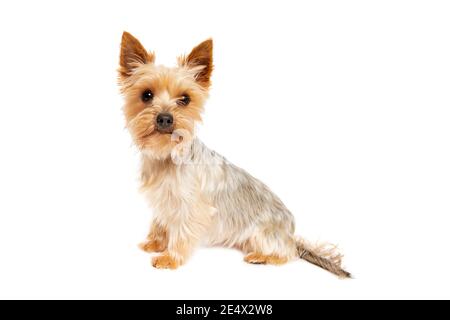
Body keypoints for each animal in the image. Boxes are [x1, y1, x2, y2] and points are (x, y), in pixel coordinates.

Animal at [118, 31, 350, 278]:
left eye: (185, 99)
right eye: (146, 95)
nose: (165, 118)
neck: (166, 155)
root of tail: (291, 235)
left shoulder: (190, 207)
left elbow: (181, 231)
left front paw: (170, 257)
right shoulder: (163, 201)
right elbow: (160, 222)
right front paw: (155, 243)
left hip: (263, 233)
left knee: (287, 254)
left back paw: (261, 256)